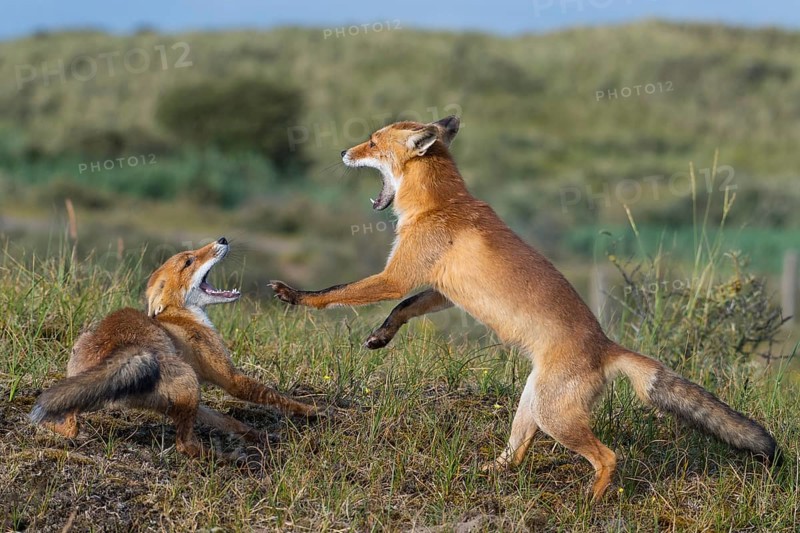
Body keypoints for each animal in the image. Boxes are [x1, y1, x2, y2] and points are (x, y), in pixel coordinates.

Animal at [31, 238, 320, 458]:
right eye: (189, 261)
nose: (222, 239)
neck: (182, 317)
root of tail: (117, 351)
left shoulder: (190, 401)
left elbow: (228, 421)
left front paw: (258, 435)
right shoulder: (230, 379)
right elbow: (273, 396)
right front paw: (312, 411)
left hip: (95, 388)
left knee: (70, 426)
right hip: (188, 381)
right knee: (184, 445)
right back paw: (223, 458)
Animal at [269, 115, 779, 500]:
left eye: (372, 142)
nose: (342, 152)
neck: (438, 204)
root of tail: (606, 345)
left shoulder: (398, 274)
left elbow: (337, 290)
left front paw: (297, 296)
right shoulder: (440, 289)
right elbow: (405, 308)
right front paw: (381, 335)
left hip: (555, 418)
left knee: (609, 456)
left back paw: (591, 502)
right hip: (532, 406)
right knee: (515, 455)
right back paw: (486, 473)